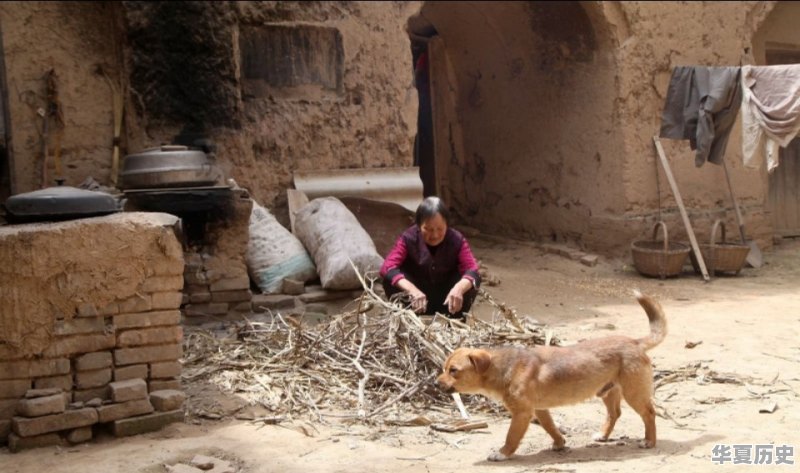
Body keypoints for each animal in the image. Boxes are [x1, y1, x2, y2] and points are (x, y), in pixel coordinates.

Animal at [434, 290, 664, 460]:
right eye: (444, 368)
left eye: (453, 370)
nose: (436, 384)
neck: (503, 368)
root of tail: (635, 342)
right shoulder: (540, 409)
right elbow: (551, 428)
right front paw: (560, 444)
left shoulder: (522, 413)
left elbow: (511, 437)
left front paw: (502, 454)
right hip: (608, 391)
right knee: (614, 413)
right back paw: (603, 435)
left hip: (633, 393)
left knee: (649, 414)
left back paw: (649, 441)